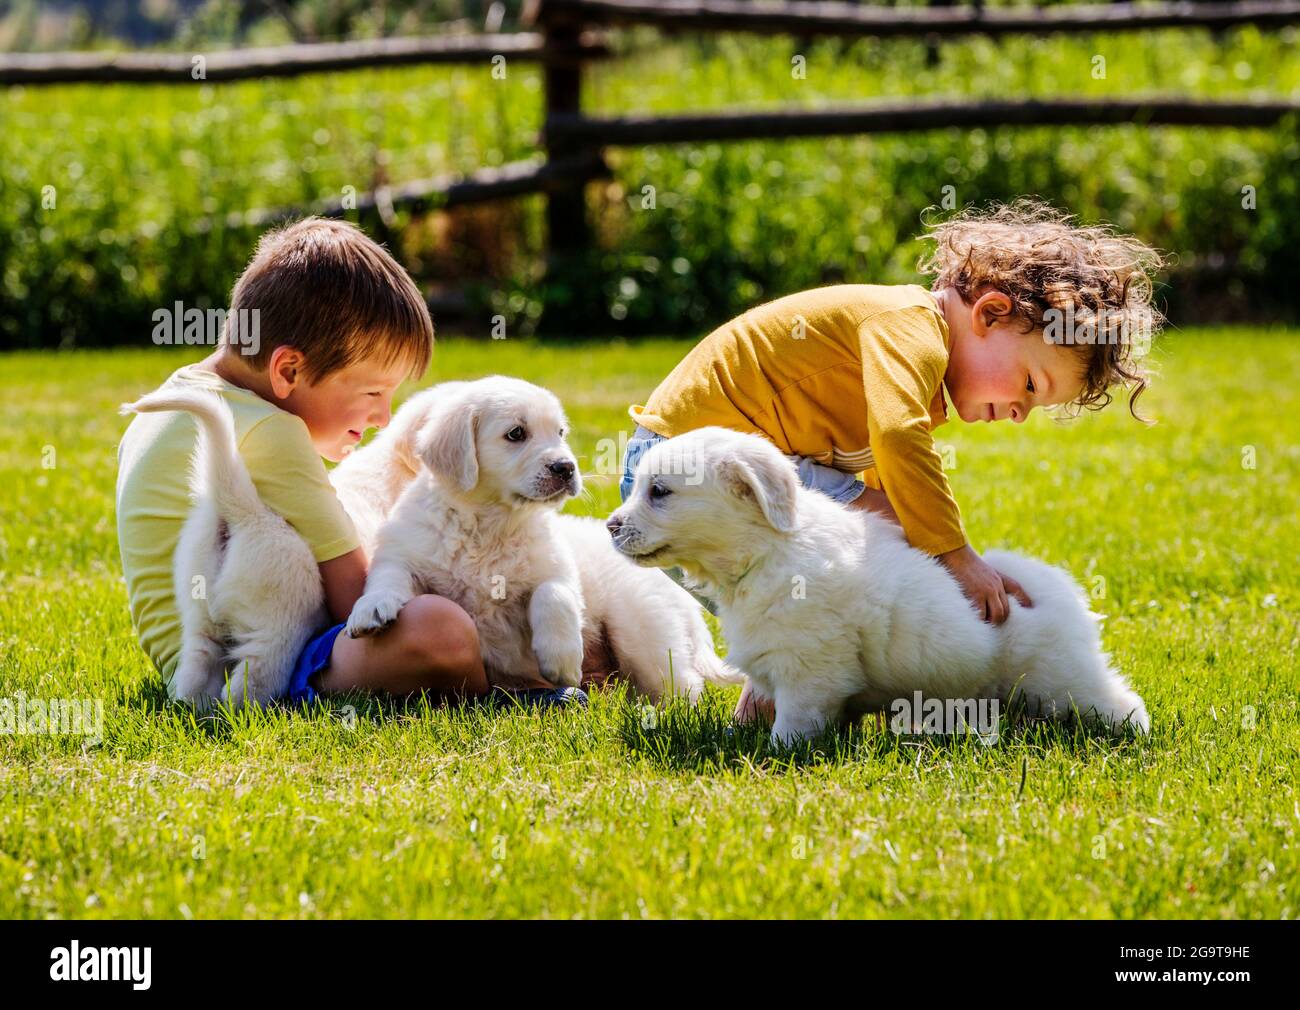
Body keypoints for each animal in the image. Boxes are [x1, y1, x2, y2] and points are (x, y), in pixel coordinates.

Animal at [340, 379, 738, 701]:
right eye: (516, 434)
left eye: (560, 432)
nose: (566, 468)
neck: (490, 522)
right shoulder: (406, 550)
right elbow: (389, 576)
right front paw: (370, 610)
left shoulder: (557, 564)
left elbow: (553, 594)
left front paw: (562, 662)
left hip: (640, 631)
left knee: (680, 684)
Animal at [603, 421, 1154, 743]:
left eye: (659, 492)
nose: (610, 526)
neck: (765, 550)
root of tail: (1059, 590)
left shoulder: (809, 670)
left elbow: (792, 725)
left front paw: (775, 754)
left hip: (1063, 677)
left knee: (1118, 700)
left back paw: (1136, 736)